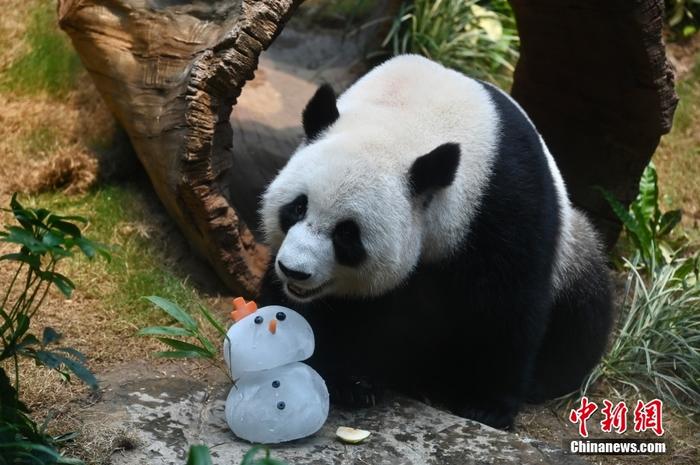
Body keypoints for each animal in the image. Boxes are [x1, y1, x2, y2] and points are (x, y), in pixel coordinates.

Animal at [258, 53, 612, 428]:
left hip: (572, 249)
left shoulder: (504, 203)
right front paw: (346, 381)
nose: (294, 271)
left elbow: (508, 306)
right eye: (297, 207)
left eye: (346, 234)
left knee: (584, 311)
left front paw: (488, 406)